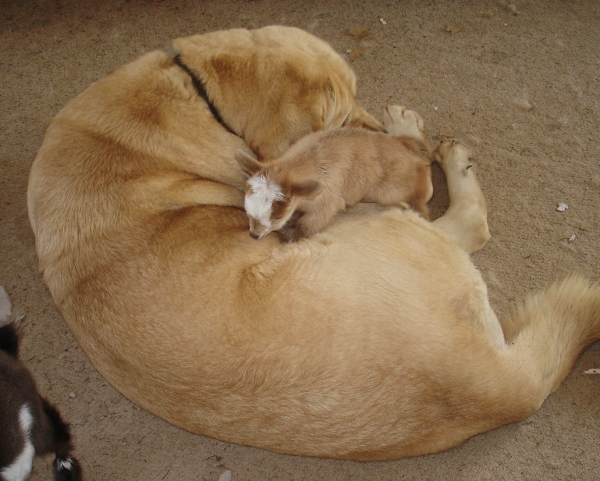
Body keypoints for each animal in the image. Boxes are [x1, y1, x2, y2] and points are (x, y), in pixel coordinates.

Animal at [27, 27, 600, 462]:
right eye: (339, 120)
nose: (379, 136)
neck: (199, 95)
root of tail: (503, 386)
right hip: (381, 220)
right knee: (470, 224)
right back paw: (438, 151)